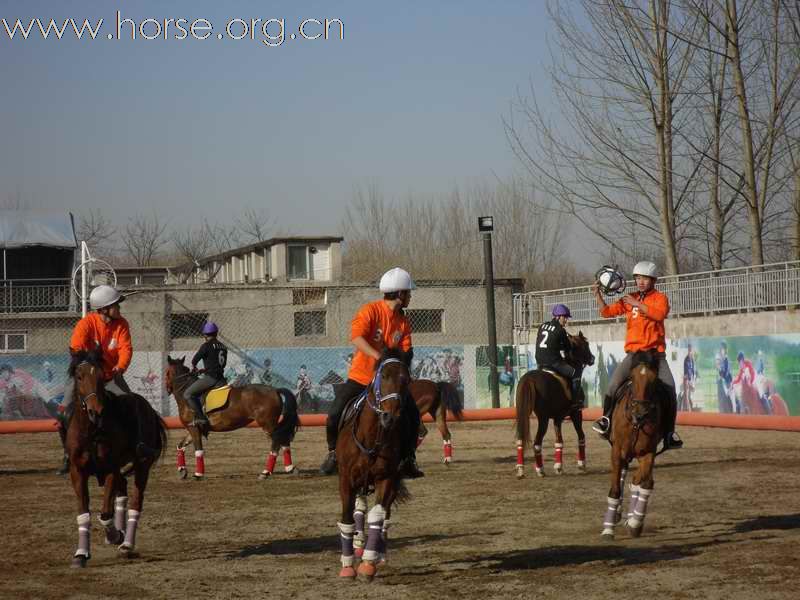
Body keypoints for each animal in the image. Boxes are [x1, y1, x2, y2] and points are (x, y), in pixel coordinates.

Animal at [66, 350, 166, 564]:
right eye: (79, 376)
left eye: (101, 376)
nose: (96, 411)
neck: (92, 431)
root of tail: (150, 409)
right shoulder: (77, 471)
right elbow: (83, 513)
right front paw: (81, 553)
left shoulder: (110, 468)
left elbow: (105, 514)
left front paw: (114, 535)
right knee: (122, 492)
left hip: (142, 465)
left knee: (135, 502)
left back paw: (126, 544)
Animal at [165, 358, 300, 480]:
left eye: (166, 372)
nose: (167, 389)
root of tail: (275, 390)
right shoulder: (193, 428)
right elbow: (180, 445)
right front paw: (182, 470)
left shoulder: (194, 428)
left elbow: (198, 451)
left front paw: (198, 474)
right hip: (271, 425)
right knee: (283, 440)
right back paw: (290, 468)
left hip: (268, 424)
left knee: (276, 443)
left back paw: (266, 472)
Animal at [334, 350, 416, 580]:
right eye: (384, 376)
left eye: (406, 380)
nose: (391, 416)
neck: (371, 436)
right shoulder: (346, 479)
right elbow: (347, 518)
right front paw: (347, 565)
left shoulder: (387, 478)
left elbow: (377, 517)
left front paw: (368, 564)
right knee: (359, 509)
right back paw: (358, 544)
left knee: (384, 517)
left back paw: (379, 553)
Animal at [512, 332, 592, 478]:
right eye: (586, 344)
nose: (592, 358)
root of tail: (529, 379)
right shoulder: (575, 413)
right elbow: (580, 436)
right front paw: (581, 464)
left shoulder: (557, 418)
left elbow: (558, 441)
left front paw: (558, 466)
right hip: (543, 419)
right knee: (537, 443)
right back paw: (540, 470)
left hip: (523, 415)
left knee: (520, 440)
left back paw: (521, 469)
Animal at [600, 350, 668, 540]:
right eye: (631, 377)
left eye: (654, 379)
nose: (641, 413)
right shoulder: (617, 451)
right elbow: (615, 489)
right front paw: (608, 529)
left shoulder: (648, 452)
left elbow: (642, 481)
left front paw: (634, 522)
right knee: (622, 475)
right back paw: (617, 514)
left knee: (642, 480)